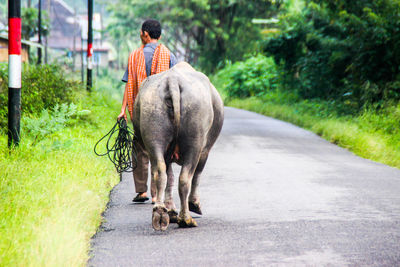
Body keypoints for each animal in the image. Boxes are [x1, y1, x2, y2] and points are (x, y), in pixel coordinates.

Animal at [133, 61, 223, 231]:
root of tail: (172, 81)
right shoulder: (205, 151)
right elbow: (196, 175)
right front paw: (194, 205)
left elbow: (169, 178)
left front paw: (171, 210)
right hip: (195, 139)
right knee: (185, 177)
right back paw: (186, 219)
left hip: (153, 126)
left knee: (160, 172)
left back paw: (160, 213)